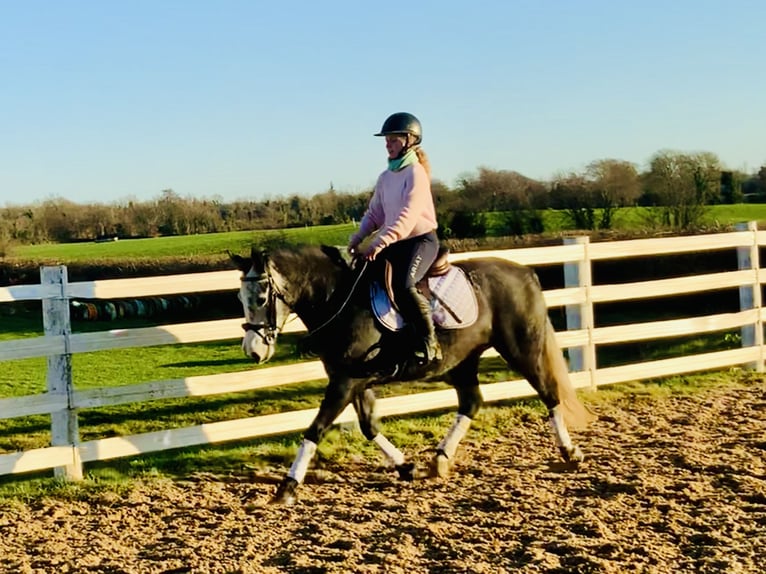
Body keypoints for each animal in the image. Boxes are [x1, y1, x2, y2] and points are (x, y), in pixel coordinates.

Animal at [231, 245, 596, 506]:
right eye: (239, 298)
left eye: (261, 297)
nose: (253, 351)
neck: (339, 300)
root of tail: (524, 272)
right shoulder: (354, 381)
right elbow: (369, 427)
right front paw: (407, 466)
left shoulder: (346, 382)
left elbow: (315, 430)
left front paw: (287, 487)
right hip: (463, 361)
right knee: (471, 403)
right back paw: (440, 460)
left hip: (521, 349)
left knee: (549, 393)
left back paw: (570, 453)